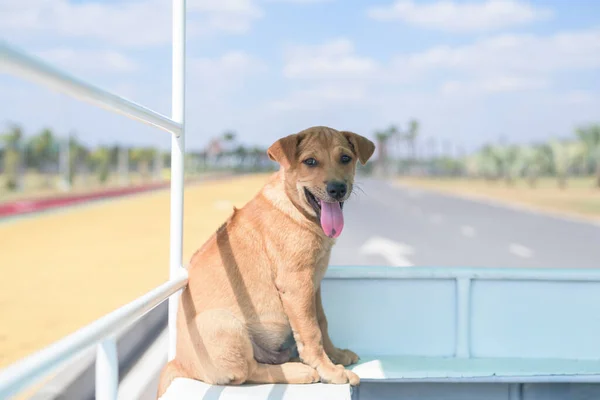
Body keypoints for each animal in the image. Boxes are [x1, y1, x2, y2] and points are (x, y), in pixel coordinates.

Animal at [156, 126, 376, 396]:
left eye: (345, 158)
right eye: (310, 162)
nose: (337, 189)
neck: (295, 209)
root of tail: (180, 363)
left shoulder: (313, 285)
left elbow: (322, 322)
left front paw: (335, 355)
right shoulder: (297, 285)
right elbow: (311, 331)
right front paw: (330, 371)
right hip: (225, 324)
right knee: (249, 371)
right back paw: (300, 371)